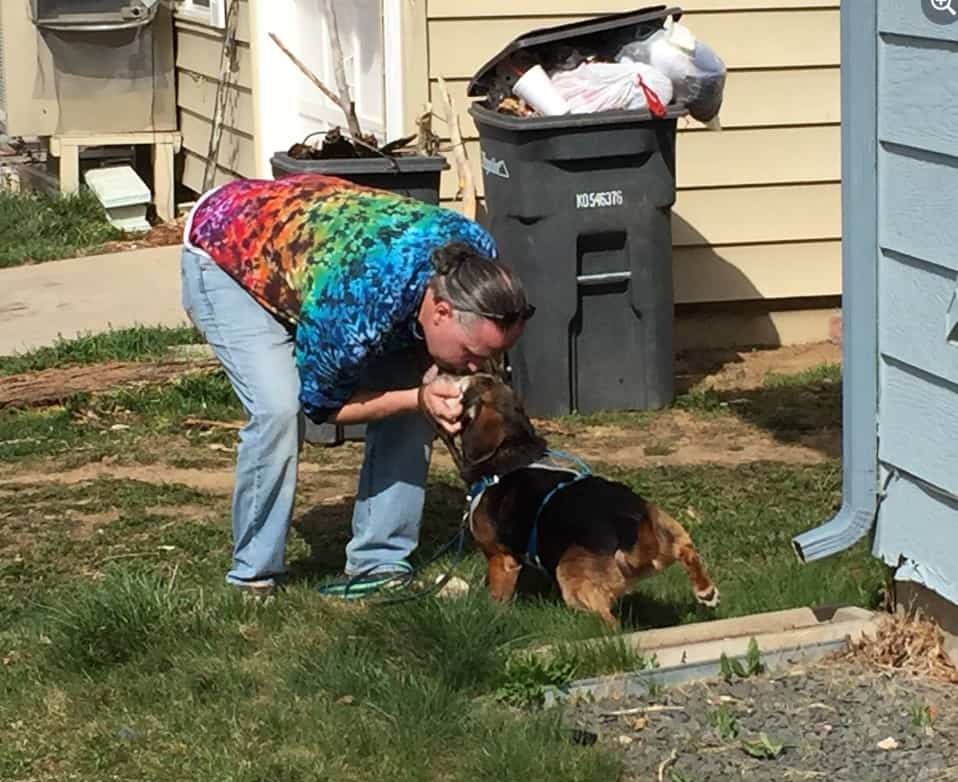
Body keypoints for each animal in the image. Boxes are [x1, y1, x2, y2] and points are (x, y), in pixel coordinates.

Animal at [428, 376, 720, 632]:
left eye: (476, 382)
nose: (450, 376)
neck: (513, 450)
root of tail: (631, 535)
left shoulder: (500, 558)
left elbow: (497, 596)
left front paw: (492, 615)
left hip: (570, 578)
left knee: (610, 622)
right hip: (667, 524)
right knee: (687, 550)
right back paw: (706, 591)